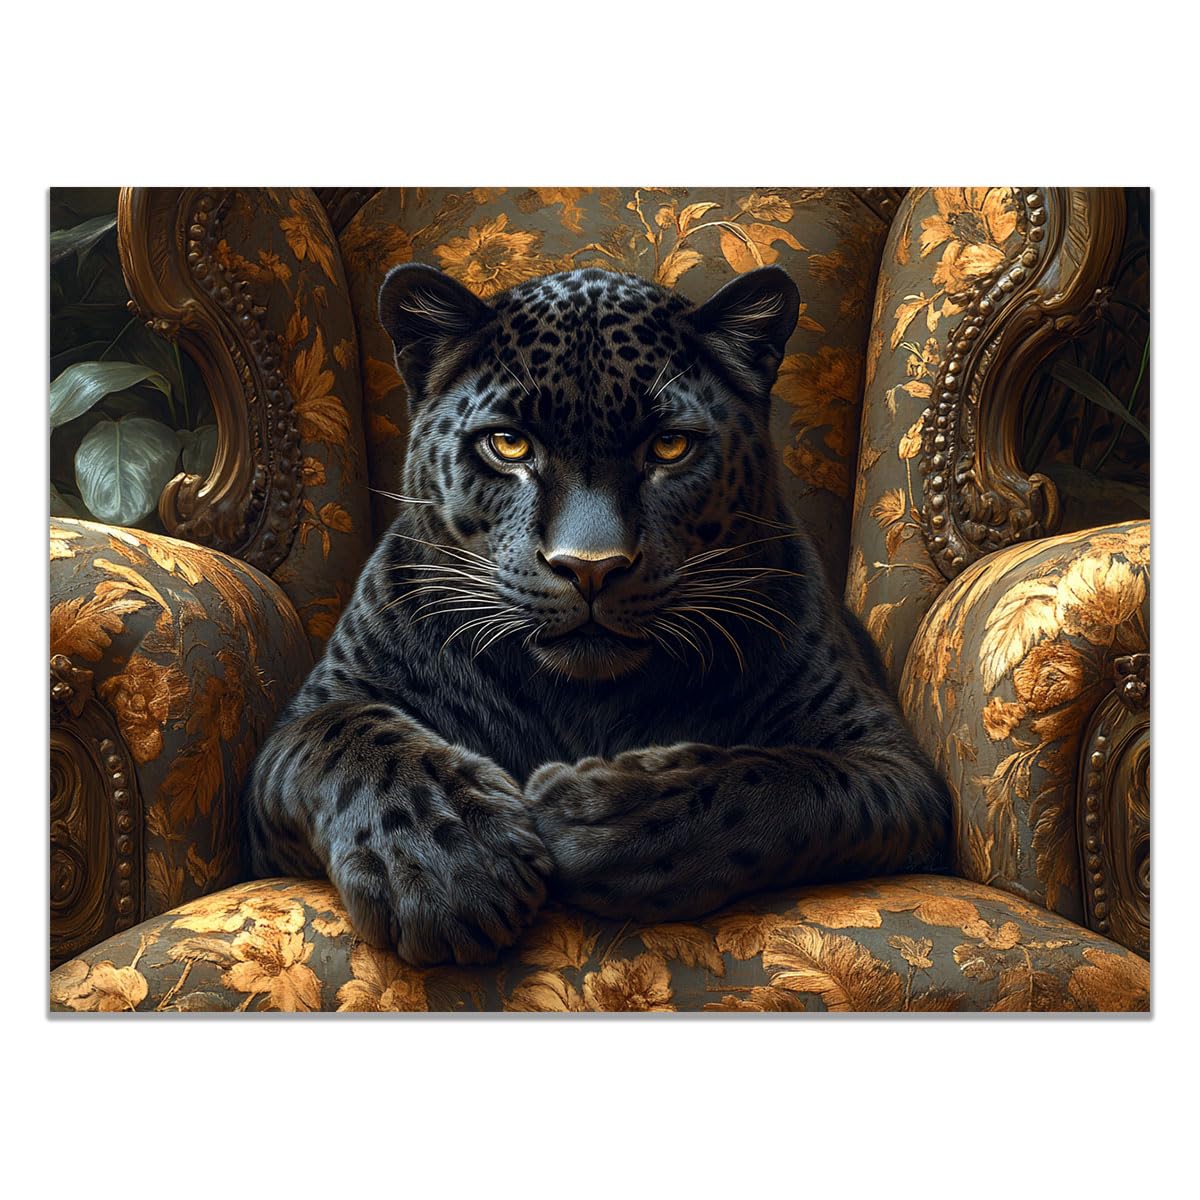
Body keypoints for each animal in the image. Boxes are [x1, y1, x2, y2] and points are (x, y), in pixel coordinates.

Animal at [242, 261, 952, 966]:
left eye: (669, 446)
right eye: (508, 444)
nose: (590, 566)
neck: (579, 700)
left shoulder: (893, 766)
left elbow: (777, 779)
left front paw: (599, 818)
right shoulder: (301, 726)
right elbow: (343, 735)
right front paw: (449, 865)